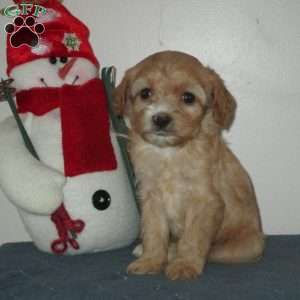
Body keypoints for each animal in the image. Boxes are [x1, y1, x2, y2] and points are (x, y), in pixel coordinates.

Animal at [113, 50, 264, 280]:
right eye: (146, 93)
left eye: (188, 97)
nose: (160, 118)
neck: (169, 152)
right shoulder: (151, 196)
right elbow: (154, 231)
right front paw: (151, 260)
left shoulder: (204, 200)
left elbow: (193, 237)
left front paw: (185, 264)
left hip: (245, 246)